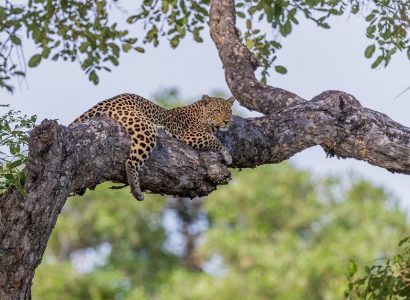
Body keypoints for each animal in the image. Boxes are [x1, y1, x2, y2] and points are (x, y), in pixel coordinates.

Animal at [70, 92, 234, 200]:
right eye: (216, 111)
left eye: (229, 111)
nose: (227, 121)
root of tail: (111, 99)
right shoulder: (189, 135)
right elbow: (214, 139)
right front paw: (227, 156)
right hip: (145, 129)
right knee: (130, 162)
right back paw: (137, 192)